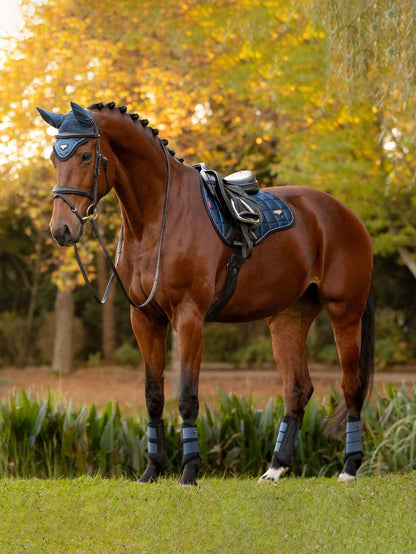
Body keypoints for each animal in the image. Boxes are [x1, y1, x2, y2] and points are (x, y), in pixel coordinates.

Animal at [38, 99, 374, 484]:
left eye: (84, 156)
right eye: (55, 157)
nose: (62, 228)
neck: (158, 218)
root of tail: (347, 215)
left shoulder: (189, 317)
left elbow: (186, 396)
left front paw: (189, 471)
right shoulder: (145, 318)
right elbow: (154, 395)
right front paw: (152, 470)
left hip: (345, 313)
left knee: (351, 386)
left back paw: (349, 468)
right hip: (287, 320)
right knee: (298, 389)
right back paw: (275, 468)